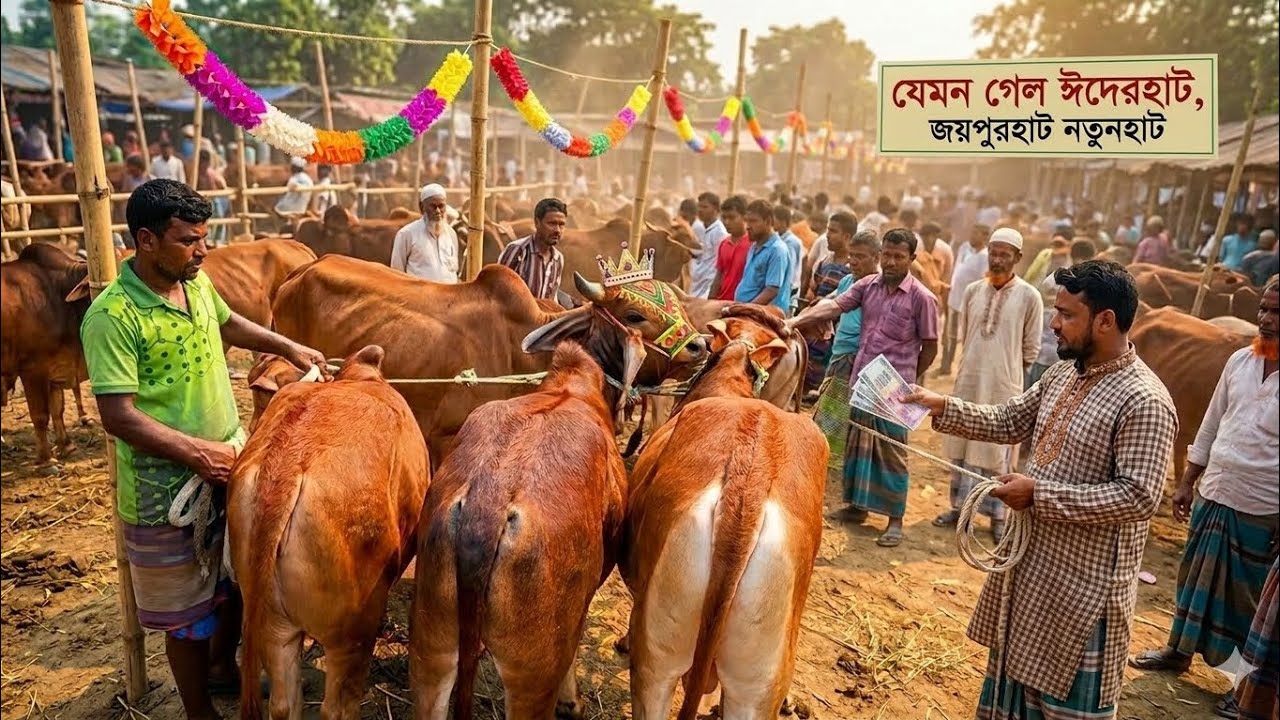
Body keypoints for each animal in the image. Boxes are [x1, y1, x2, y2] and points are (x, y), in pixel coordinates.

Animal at [0, 243, 90, 463]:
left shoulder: (55, 366)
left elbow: (58, 408)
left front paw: (67, 446)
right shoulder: (33, 369)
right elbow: (40, 415)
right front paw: (46, 459)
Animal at [408, 289, 660, 719]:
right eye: (636, 315)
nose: (699, 345)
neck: (574, 383)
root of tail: (487, 505)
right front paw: (571, 700)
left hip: (432, 646)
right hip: (531, 675)